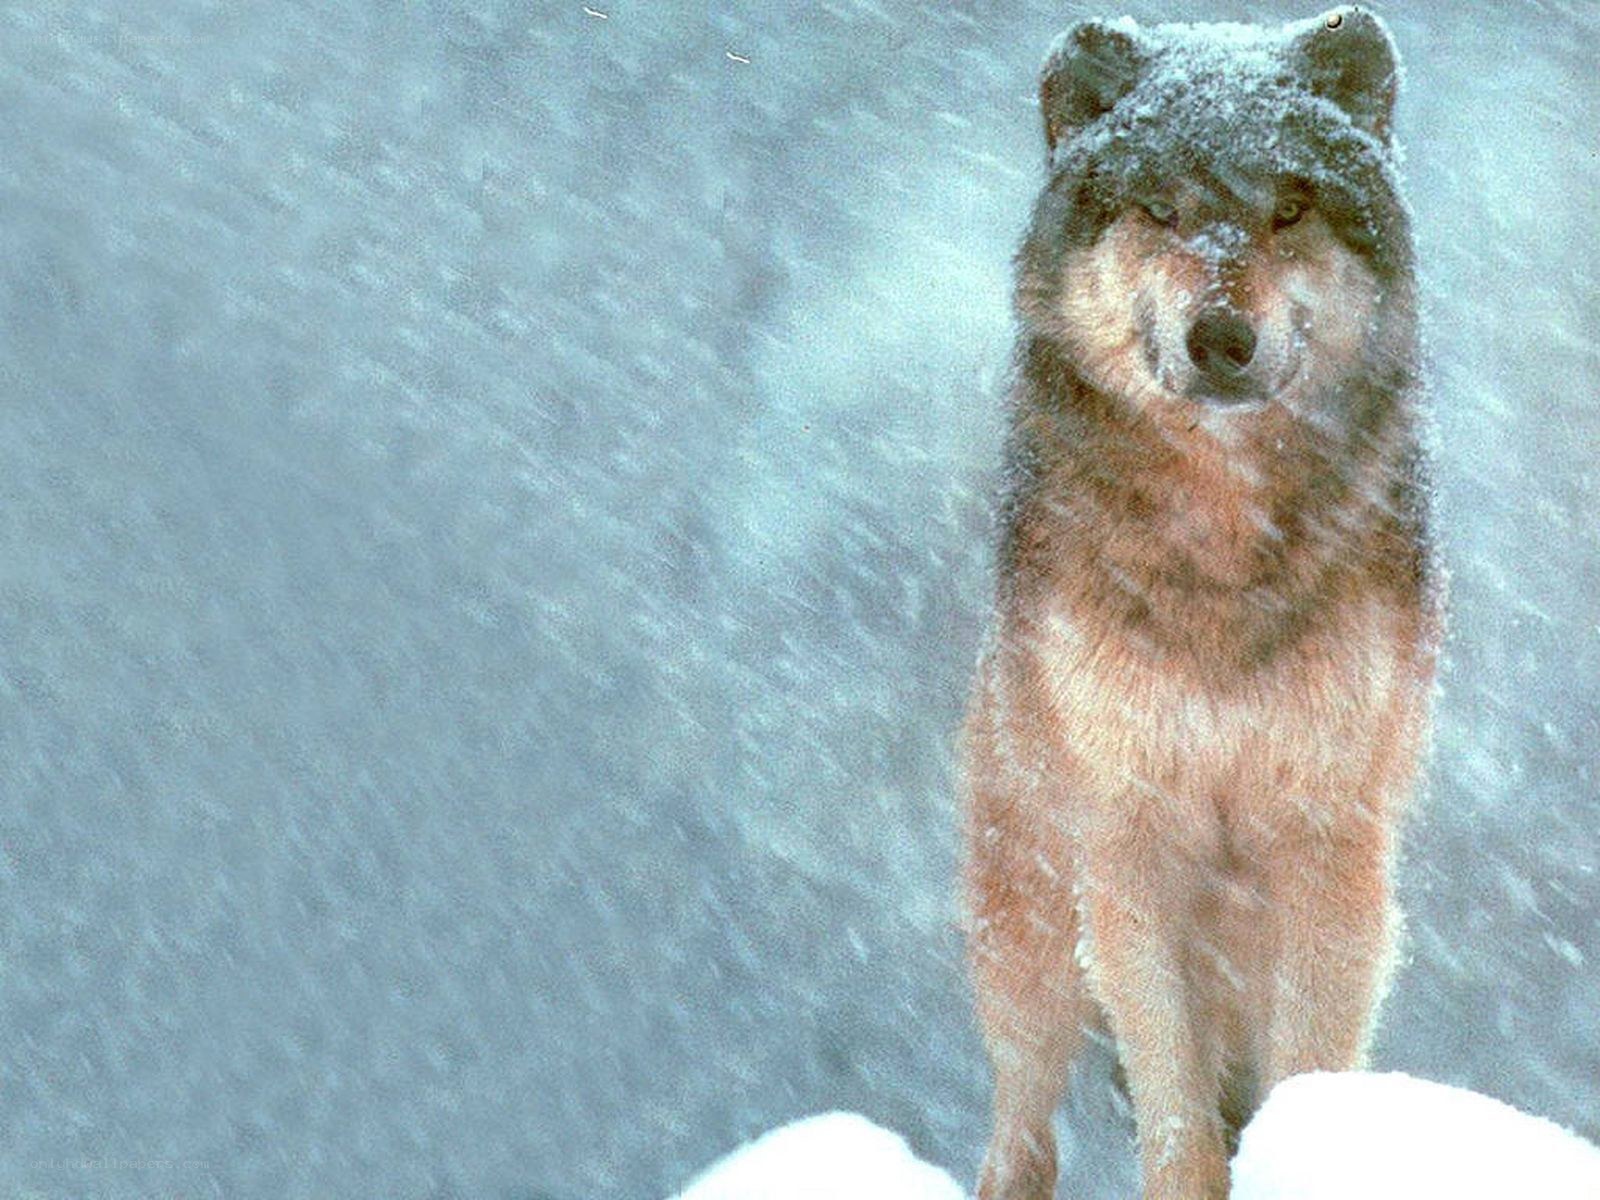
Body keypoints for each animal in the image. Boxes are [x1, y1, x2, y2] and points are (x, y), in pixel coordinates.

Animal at [962, 8, 1441, 1199]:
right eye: (1161, 208)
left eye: (1289, 209)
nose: (1221, 338)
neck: (1222, 544)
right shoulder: (1129, 842)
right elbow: (1174, 1116)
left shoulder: (1326, 841)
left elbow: (1307, 1072)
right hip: (1029, 935)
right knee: (1021, 1120)